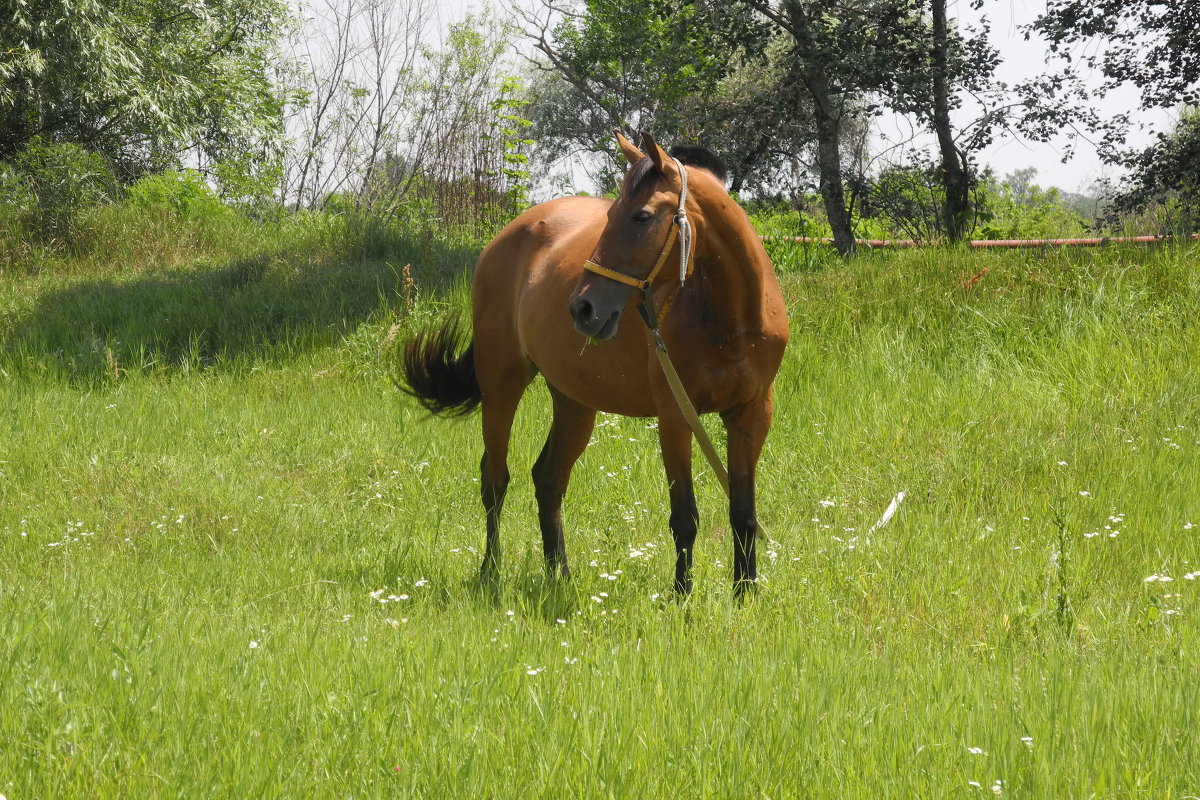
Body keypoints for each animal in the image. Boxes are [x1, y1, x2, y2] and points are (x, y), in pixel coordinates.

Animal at [400, 131, 787, 594]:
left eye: (641, 216)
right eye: (610, 215)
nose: (582, 308)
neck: (730, 319)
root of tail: (504, 238)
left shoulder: (752, 414)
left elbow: (743, 513)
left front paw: (745, 595)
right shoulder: (675, 417)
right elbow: (685, 518)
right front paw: (681, 597)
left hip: (574, 401)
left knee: (548, 479)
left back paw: (559, 575)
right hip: (501, 385)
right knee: (495, 479)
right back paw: (490, 572)